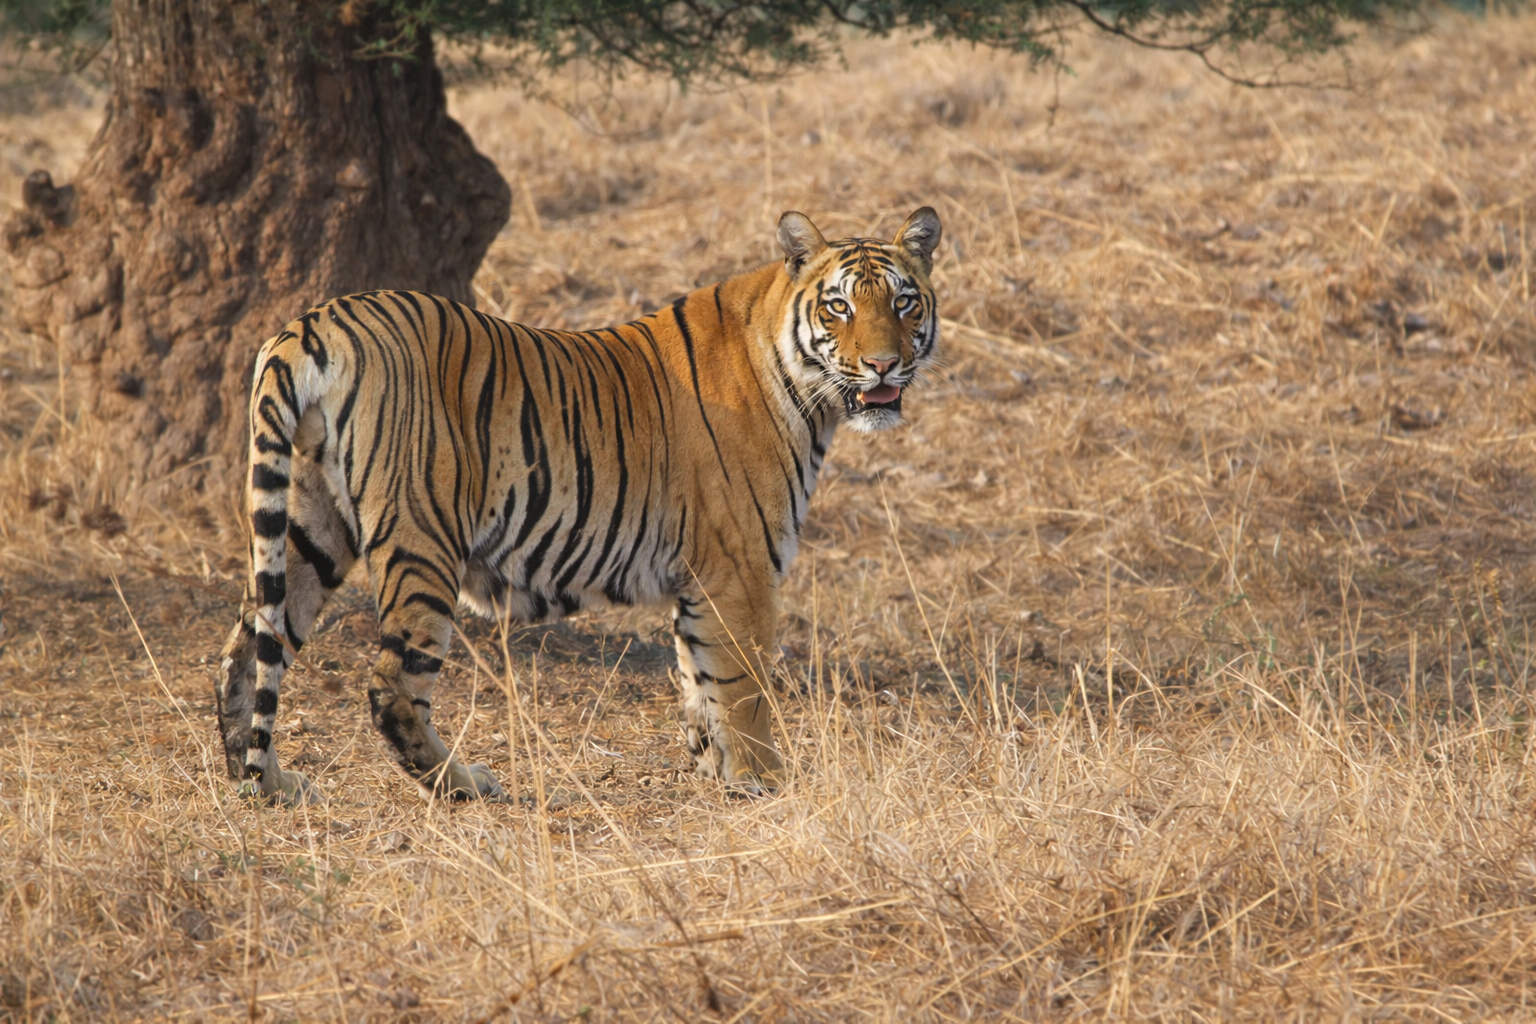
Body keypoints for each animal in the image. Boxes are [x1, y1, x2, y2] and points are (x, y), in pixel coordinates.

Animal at [214, 206, 942, 804]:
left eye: (904, 303)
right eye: (839, 307)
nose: (883, 366)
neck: (803, 385)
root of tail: (315, 322)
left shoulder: (702, 582)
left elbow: (701, 684)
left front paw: (718, 777)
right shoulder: (740, 570)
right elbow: (744, 689)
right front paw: (765, 783)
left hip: (311, 527)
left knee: (251, 645)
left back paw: (265, 782)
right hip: (423, 539)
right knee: (391, 684)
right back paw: (462, 783)